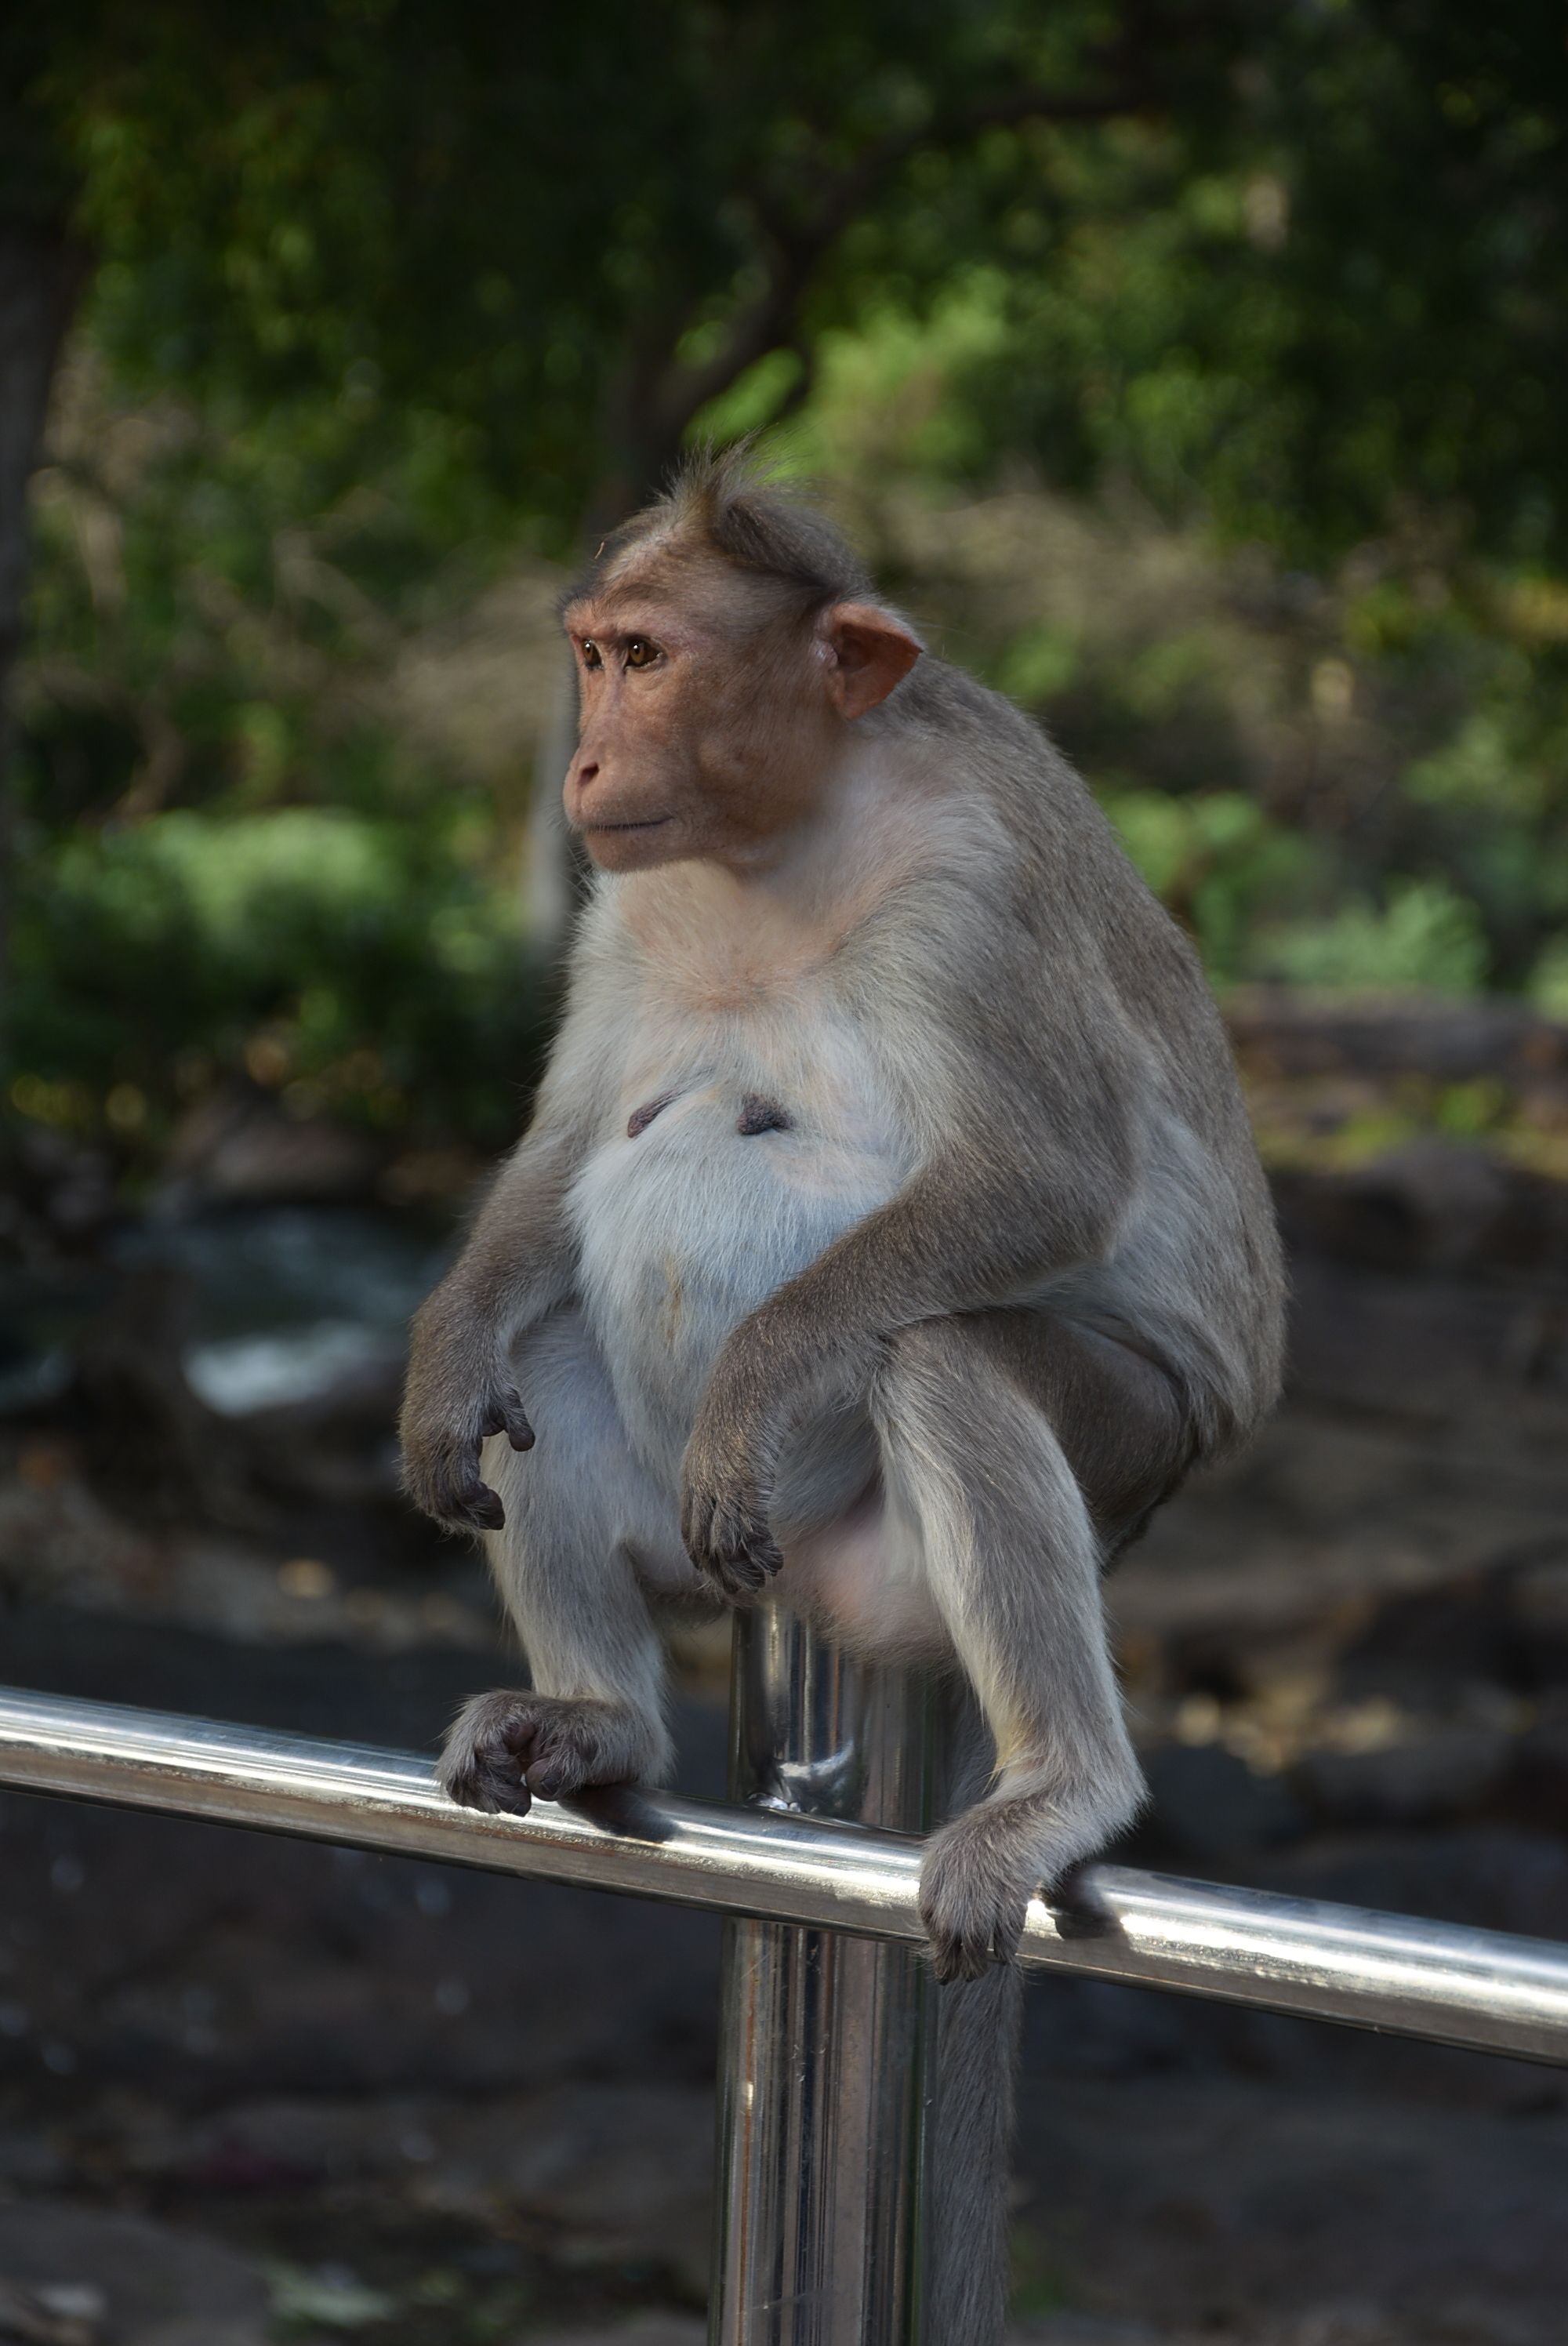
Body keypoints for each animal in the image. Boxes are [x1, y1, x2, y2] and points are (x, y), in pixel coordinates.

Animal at [399, 451, 1286, 2343]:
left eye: (648, 657)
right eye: (593, 654)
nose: (586, 763)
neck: (779, 836)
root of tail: (822, 1602)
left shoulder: (976, 879)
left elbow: (1041, 1173)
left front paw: (757, 1376)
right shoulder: (622, 892)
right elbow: (571, 1144)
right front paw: (443, 1368)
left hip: (1104, 1460)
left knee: (941, 1358)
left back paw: (1059, 1785)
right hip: (718, 1546)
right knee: (557, 1349)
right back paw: (604, 1715)